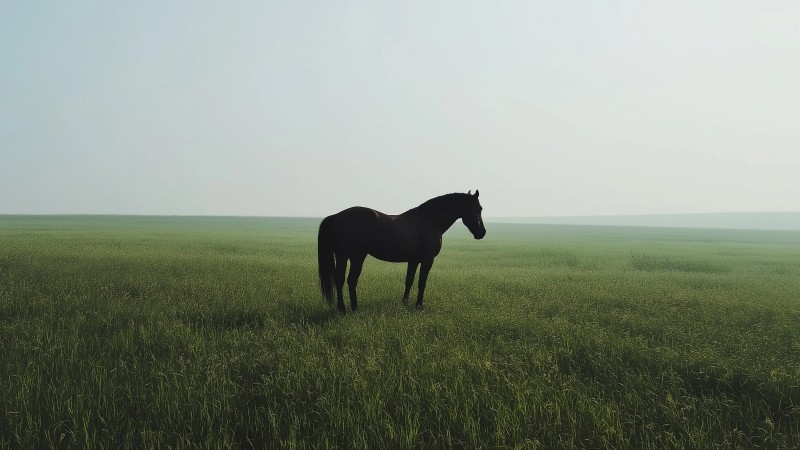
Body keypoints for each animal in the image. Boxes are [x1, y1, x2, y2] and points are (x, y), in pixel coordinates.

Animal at [318, 190, 486, 313]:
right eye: (478, 209)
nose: (482, 233)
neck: (429, 220)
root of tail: (337, 216)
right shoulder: (427, 260)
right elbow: (421, 282)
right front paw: (419, 306)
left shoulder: (414, 260)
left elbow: (409, 281)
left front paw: (404, 303)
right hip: (356, 257)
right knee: (351, 280)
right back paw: (353, 309)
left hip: (343, 257)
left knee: (339, 280)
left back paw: (343, 309)